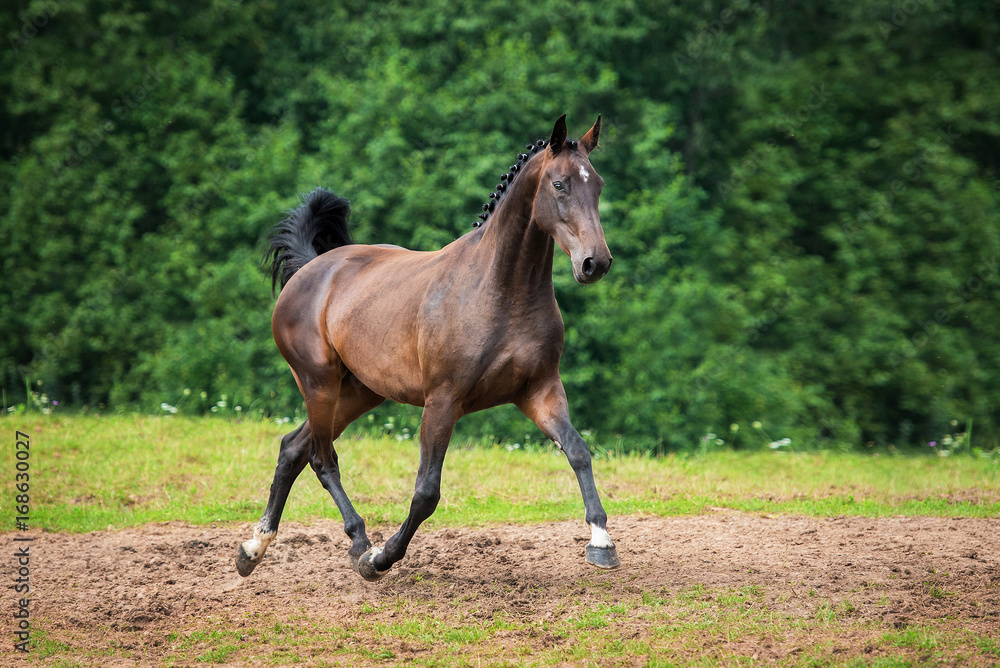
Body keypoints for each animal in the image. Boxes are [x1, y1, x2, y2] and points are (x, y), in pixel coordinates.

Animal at [237, 114, 620, 582]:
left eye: (597, 184)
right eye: (560, 184)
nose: (595, 263)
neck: (500, 292)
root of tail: (310, 269)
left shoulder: (540, 392)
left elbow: (579, 452)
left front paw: (601, 542)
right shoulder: (443, 400)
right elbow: (426, 492)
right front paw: (381, 558)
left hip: (359, 392)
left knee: (292, 449)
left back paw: (253, 549)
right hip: (319, 385)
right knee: (321, 458)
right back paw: (360, 546)